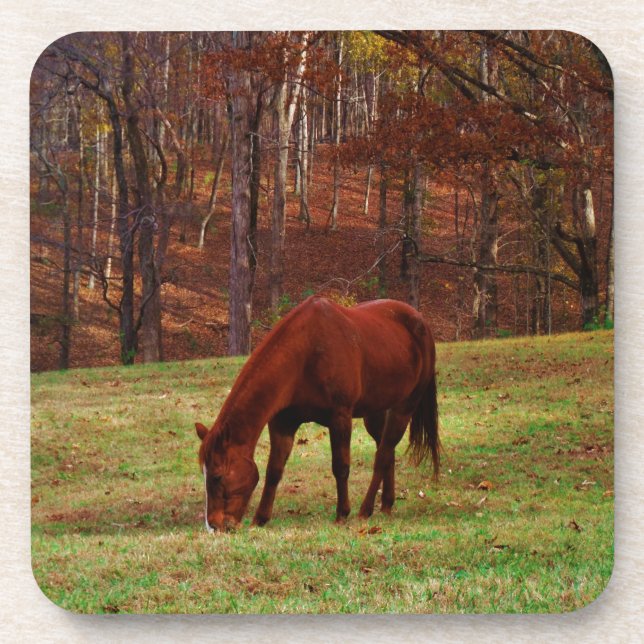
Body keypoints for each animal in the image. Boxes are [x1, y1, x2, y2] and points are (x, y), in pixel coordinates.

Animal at [195, 295, 439, 532]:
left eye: (217, 476)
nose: (213, 526)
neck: (305, 353)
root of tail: (422, 323)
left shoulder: (340, 417)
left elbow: (341, 466)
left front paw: (342, 513)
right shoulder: (282, 423)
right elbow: (274, 470)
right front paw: (260, 518)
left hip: (404, 407)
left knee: (382, 455)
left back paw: (365, 509)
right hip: (375, 412)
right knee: (387, 450)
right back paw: (387, 504)